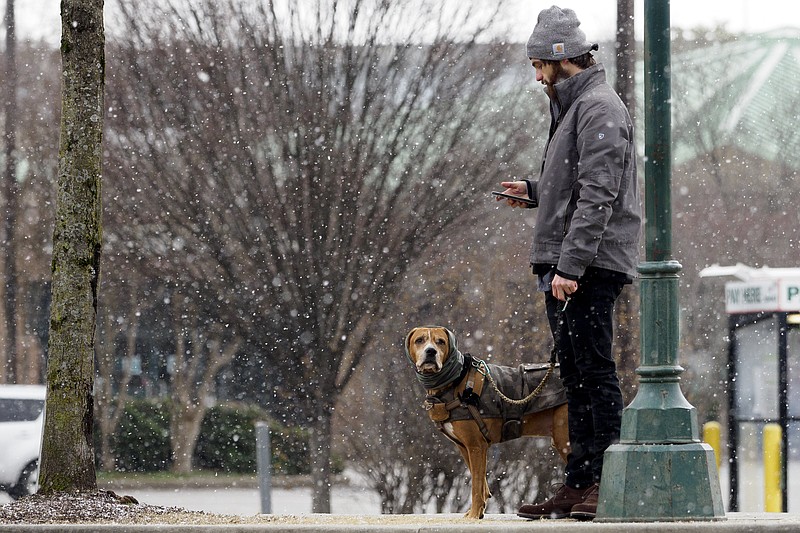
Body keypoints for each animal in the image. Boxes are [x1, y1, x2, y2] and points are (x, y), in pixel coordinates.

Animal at [406, 326, 568, 516]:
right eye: (419, 340)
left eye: (440, 342)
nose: (431, 351)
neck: (454, 381)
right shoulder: (465, 447)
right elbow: (481, 480)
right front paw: (477, 511)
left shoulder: (476, 445)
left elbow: (476, 485)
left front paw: (474, 515)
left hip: (564, 438)